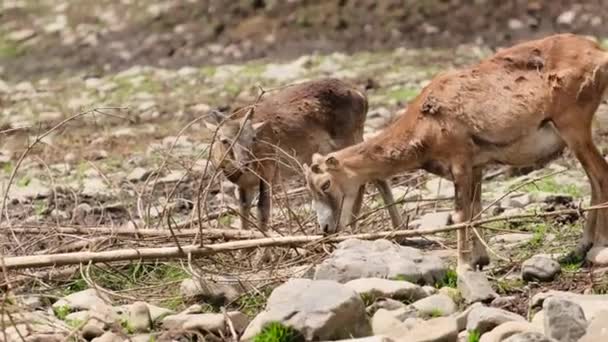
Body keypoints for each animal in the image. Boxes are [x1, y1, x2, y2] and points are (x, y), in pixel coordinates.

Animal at [204, 77, 404, 232]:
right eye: (224, 140)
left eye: (253, 138)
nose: (245, 163)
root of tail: (362, 95)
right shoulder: (244, 185)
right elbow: (243, 211)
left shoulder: (268, 172)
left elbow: (263, 210)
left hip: (349, 138)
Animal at [304, 33, 608, 272]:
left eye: (325, 183)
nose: (326, 228)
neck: (423, 125)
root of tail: (598, 54)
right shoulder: (477, 167)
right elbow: (475, 209)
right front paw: (480, 260)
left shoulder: (460, 162)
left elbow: (461, 214)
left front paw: (463, 266)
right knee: (594, 180)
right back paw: (580, 248)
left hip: (574, 127)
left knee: (600, 175)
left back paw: (599, 246)